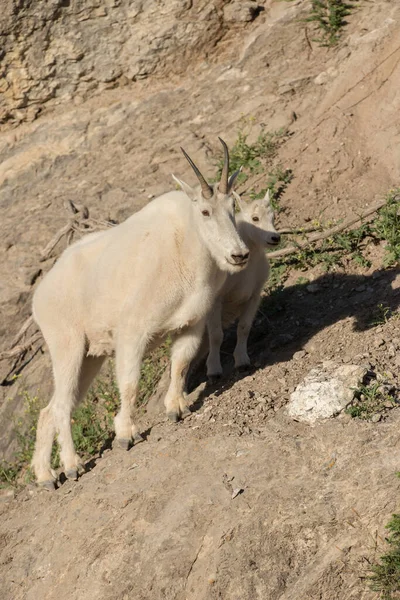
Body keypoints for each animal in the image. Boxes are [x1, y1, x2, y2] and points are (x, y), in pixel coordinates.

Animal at [32, 141, 250, 488]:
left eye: (233, 207)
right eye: (205, 211)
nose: (239, 255)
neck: (186, 247)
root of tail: (39, 298)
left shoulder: (191, 324)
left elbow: (181, 364)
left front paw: (176, 408)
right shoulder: (133, 331)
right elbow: (130, 382)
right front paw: (126, 434)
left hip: (90, 356)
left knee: (48, 410)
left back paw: (45, 475)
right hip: (67, 344)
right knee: (62, 405)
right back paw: (71, 465)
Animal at [205, 190, 280, 378]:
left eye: (273, 217)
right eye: (255, 218)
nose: (275, 238)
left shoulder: (254, 295)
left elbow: (244, 327)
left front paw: (242, 361)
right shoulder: (216, 301)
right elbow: (216, 335)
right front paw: (214, 370)